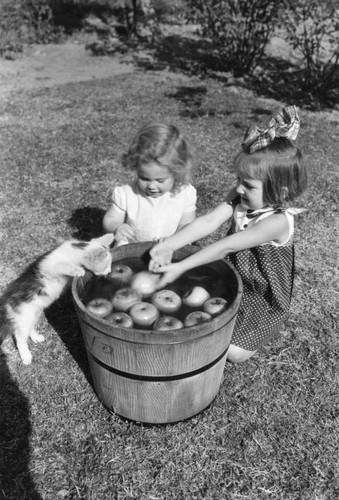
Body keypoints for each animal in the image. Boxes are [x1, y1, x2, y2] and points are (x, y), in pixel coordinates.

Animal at [0, 234, 114, 364]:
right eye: (106, 266)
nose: (110, 271)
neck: (76, 250)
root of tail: (6, 299)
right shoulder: (50, 265)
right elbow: (62, 265)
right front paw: (77, 270)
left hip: (33, 314)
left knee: (29, 328)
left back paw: (36, 338)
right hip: (23, 316)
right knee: (19, 337)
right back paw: (26, 356)